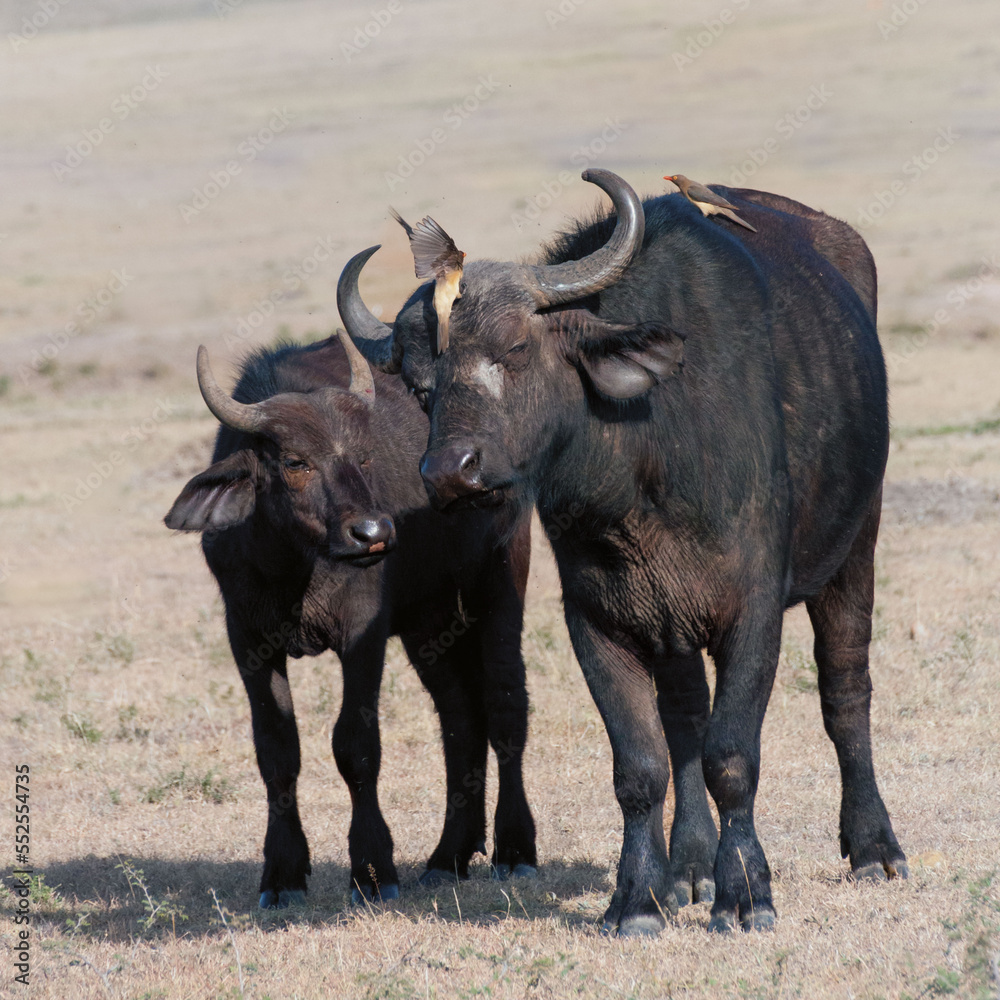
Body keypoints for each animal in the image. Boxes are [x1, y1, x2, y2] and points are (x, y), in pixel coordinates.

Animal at [165, 332, 536, 907]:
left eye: (362, 457)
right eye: (295, 461)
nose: (373, 533)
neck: (295, 565)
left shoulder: (363, 633)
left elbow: (355, 745)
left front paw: (373, 869)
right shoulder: (247, 638)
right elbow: (277, 751)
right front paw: (283, 873)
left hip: (498, 584)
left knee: (504, 705)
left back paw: (515, 851)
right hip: (429, 620)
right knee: (460, 715)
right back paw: (448, 855)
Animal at [338, 169, 907, 935]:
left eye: (514, 349)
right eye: (421, 385)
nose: (450, 472)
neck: (643, 466)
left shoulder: (754, 612)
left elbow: (733, 755)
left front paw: (746, 894)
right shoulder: (600, 621)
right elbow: (641, 766)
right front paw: (639, 897)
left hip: (856, 544)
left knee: (845, 686)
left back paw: (874, 847)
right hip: (670, 624)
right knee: (685, 717)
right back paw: (690, 865)